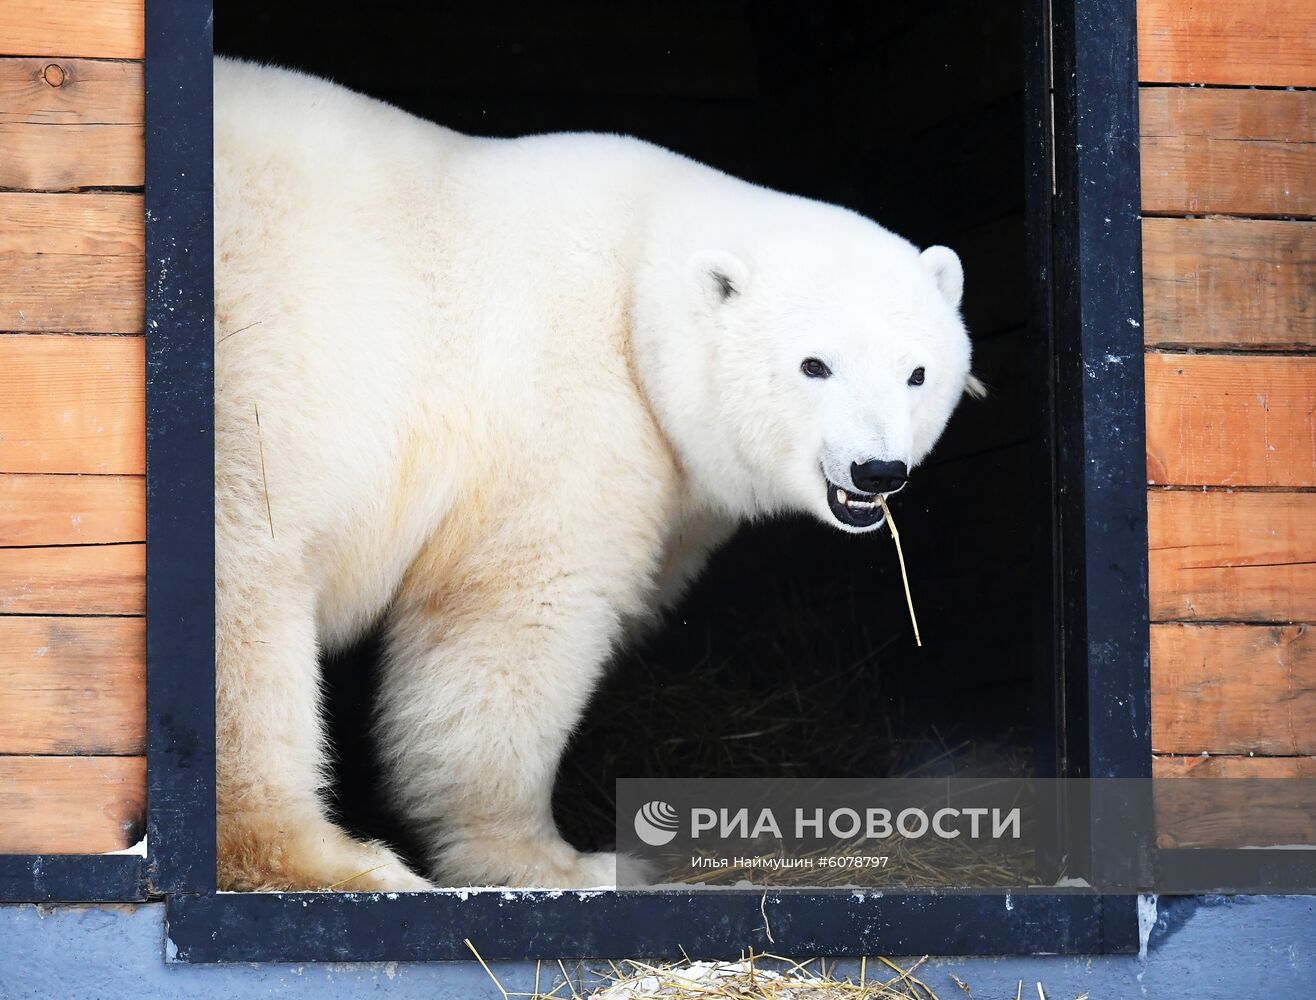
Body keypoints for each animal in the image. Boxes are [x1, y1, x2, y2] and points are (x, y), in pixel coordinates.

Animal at [213, 58, 979, 889]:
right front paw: (564, 861)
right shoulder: (562, 411)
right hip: (260, 383)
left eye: (916, 373)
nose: (877, 471)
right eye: (815, 365)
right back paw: (337, 861)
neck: (639, 282)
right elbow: (512, 616)